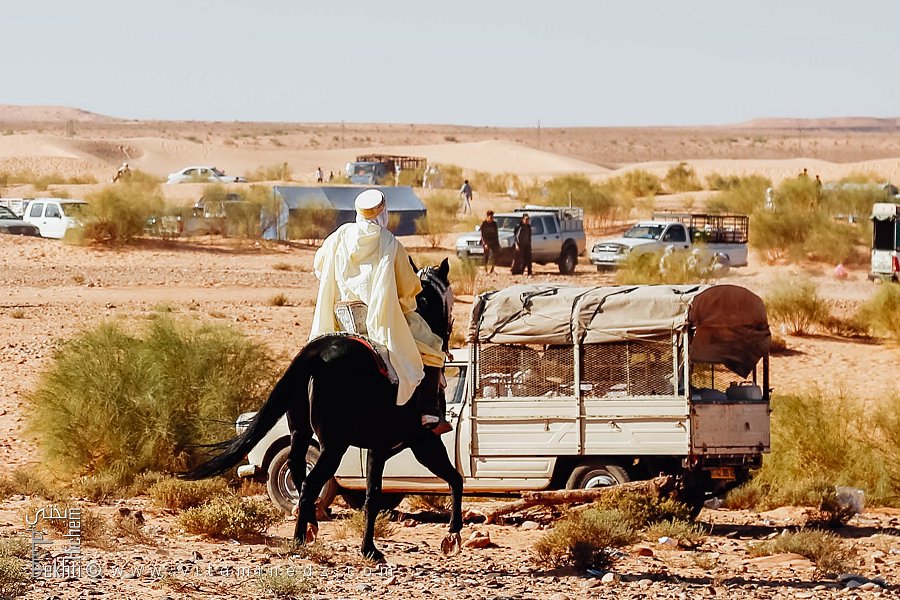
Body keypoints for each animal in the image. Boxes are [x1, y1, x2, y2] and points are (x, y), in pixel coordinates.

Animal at [181, 259, 463, 562]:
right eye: (449, 299)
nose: (447, 337)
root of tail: (315, 352)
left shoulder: (379, 448)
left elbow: (373, 494)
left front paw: (369, 548)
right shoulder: (422, 441)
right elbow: (453, 478)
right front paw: (451, 535)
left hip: (301, 432)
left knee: (297, 470)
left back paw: (309, 526)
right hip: (334, 445)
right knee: (309, 482)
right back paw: (299, 540)